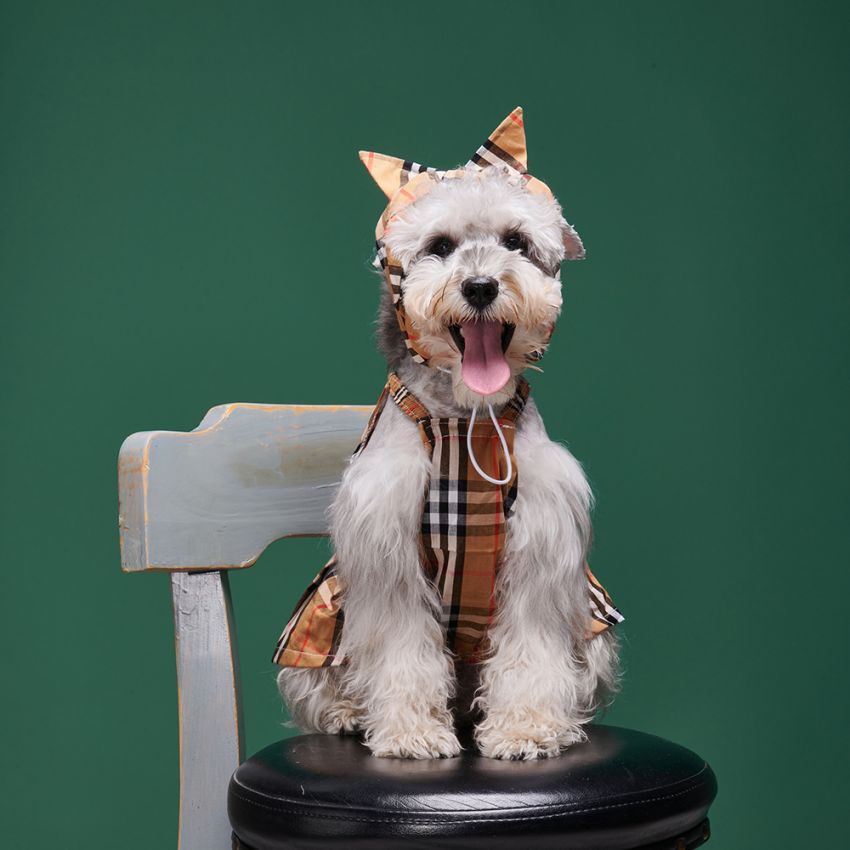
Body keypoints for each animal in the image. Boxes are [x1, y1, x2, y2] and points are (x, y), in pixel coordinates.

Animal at [274, 107, 620, 760]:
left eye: (516, 241)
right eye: (439, 247)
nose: (480, 286)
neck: (466, 420)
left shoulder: (540, 552)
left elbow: (532, 647)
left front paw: (525, 726)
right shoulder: (388, 552)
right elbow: (402, 650)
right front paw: (410, 730)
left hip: (595, 626)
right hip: (320, 617)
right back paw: (347, 713)